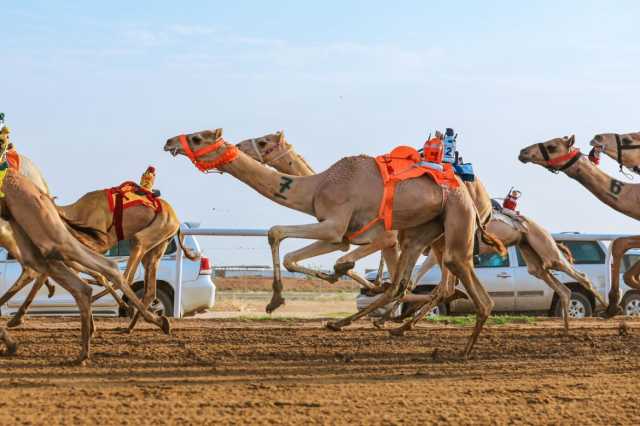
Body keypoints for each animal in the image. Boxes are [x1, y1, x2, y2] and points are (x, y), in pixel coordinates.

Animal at [168, 127, 508, 356]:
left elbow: (290, 238)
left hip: (454, 222)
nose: (169, 142)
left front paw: (285, 296)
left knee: (449, 275)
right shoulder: (341, 236)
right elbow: (289, 247)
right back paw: (368, 324)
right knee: (414, 282)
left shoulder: (350, 229)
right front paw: (284, 297)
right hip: (425, 230)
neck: (317, 186)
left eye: (197, 138)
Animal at [516, 133, 640, 316]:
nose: (523, 152)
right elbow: (621, 251)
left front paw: (612, 306)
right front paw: (612, 306)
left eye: (552, 146)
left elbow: (619, 245)